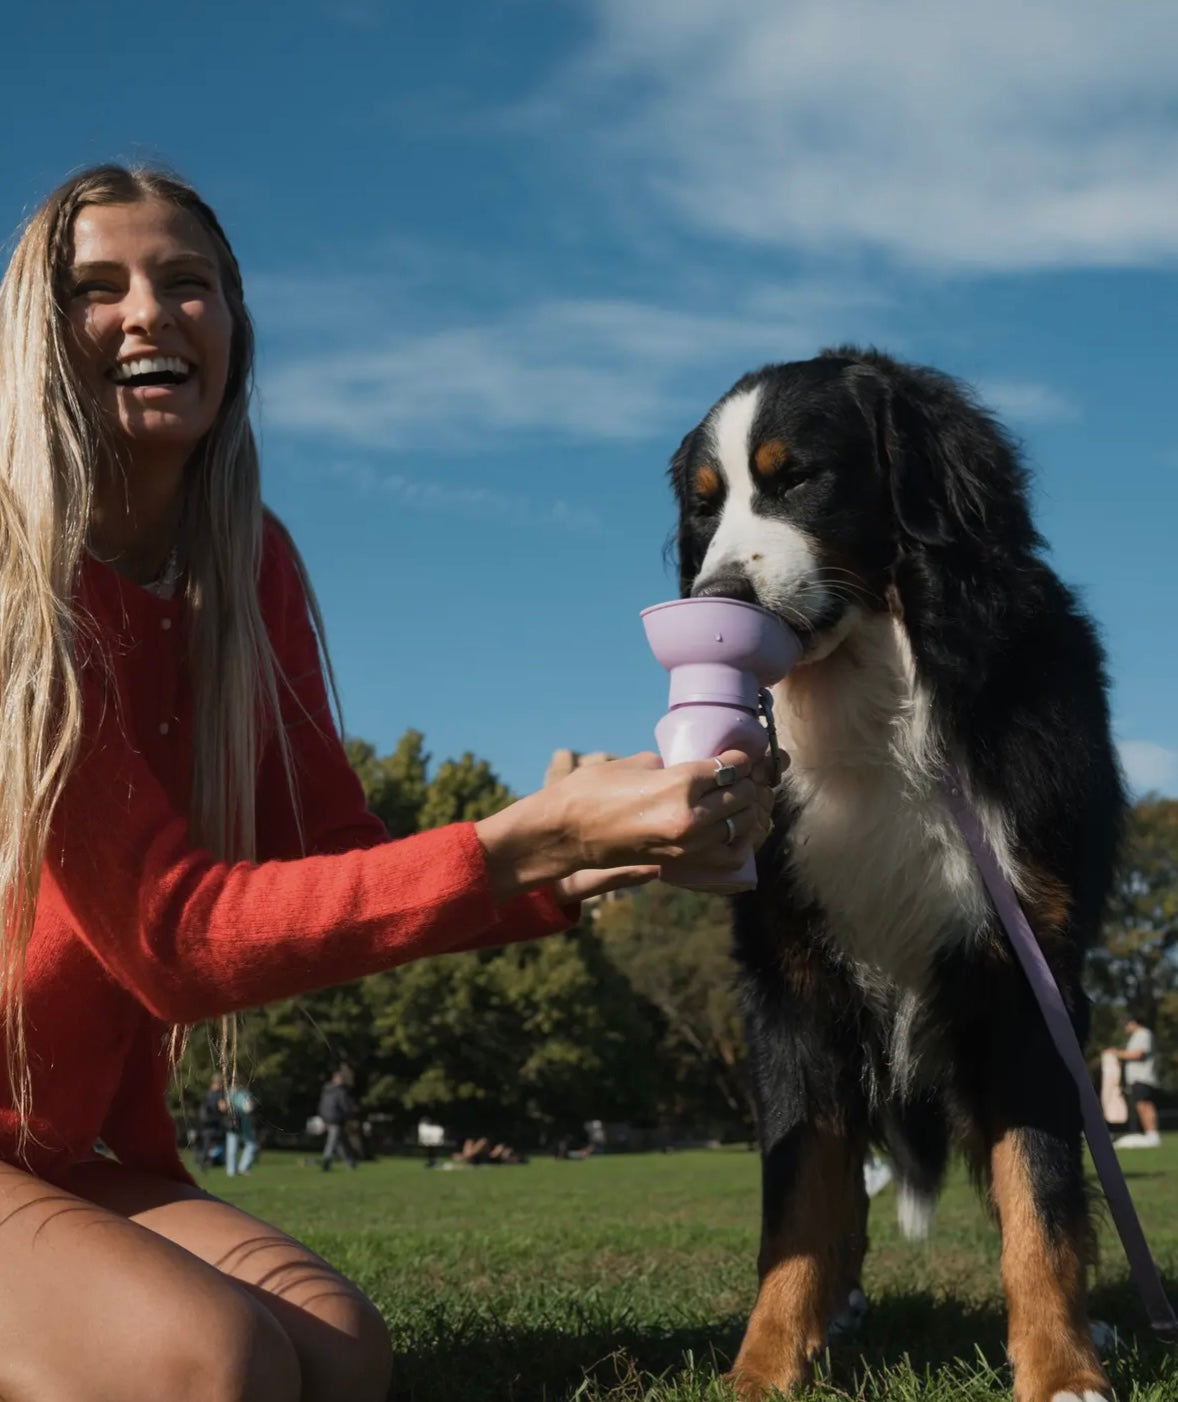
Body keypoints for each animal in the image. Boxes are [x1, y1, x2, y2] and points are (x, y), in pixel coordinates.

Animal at [673, 347, 1121, 1402]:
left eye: (798, 478)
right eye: (705, 508)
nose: (716, 598)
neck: (874, 702)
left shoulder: (1027, 975)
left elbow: (1040, 1192)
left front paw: (1061, 1366)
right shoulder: (791, 987)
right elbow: (798, 1206)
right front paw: (763, 1368)